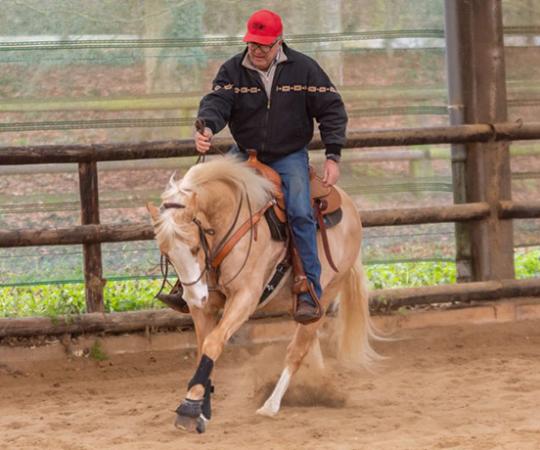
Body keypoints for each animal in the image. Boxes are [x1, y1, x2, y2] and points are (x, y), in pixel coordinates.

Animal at [146, 156, 378, 432]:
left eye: (194, 247)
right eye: (167, 254)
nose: (193, 297)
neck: (228, 222)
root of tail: (350, 206)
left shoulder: (244, 297)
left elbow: (213, 343)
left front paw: (189, 409)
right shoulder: (205, 306)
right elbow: (204, 349)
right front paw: (201, 407)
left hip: (325, 293)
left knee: (297, 350)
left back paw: (271, 405)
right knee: (310, 343)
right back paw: (318, 386)